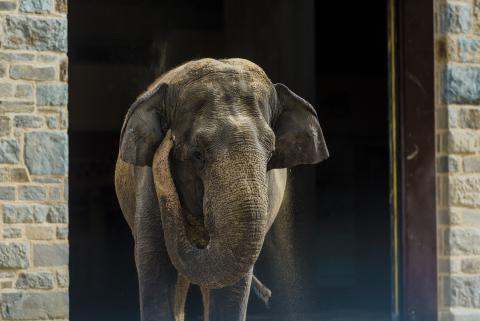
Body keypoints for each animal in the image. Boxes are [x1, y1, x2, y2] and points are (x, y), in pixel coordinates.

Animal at [114, 57, 328, 320]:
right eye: (197, 154)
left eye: (271, 154)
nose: (169, 138)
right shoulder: (148, 185)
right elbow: (155, 268)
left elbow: (231, 292)